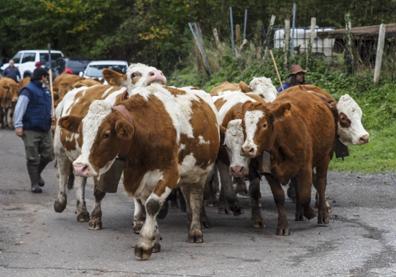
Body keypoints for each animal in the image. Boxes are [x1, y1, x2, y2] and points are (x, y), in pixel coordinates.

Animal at [59, 83, 220, 258]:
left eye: (106, 134)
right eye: (81, 132)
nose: (80, 166)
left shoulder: (170, 173)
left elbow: (152, 205)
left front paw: (144, 244)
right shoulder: (142, 178)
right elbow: (146, 203)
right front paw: (154, 241)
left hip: (202, 172)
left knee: (196, 198)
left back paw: (195, 231)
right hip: (188, 174)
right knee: (187, 194)